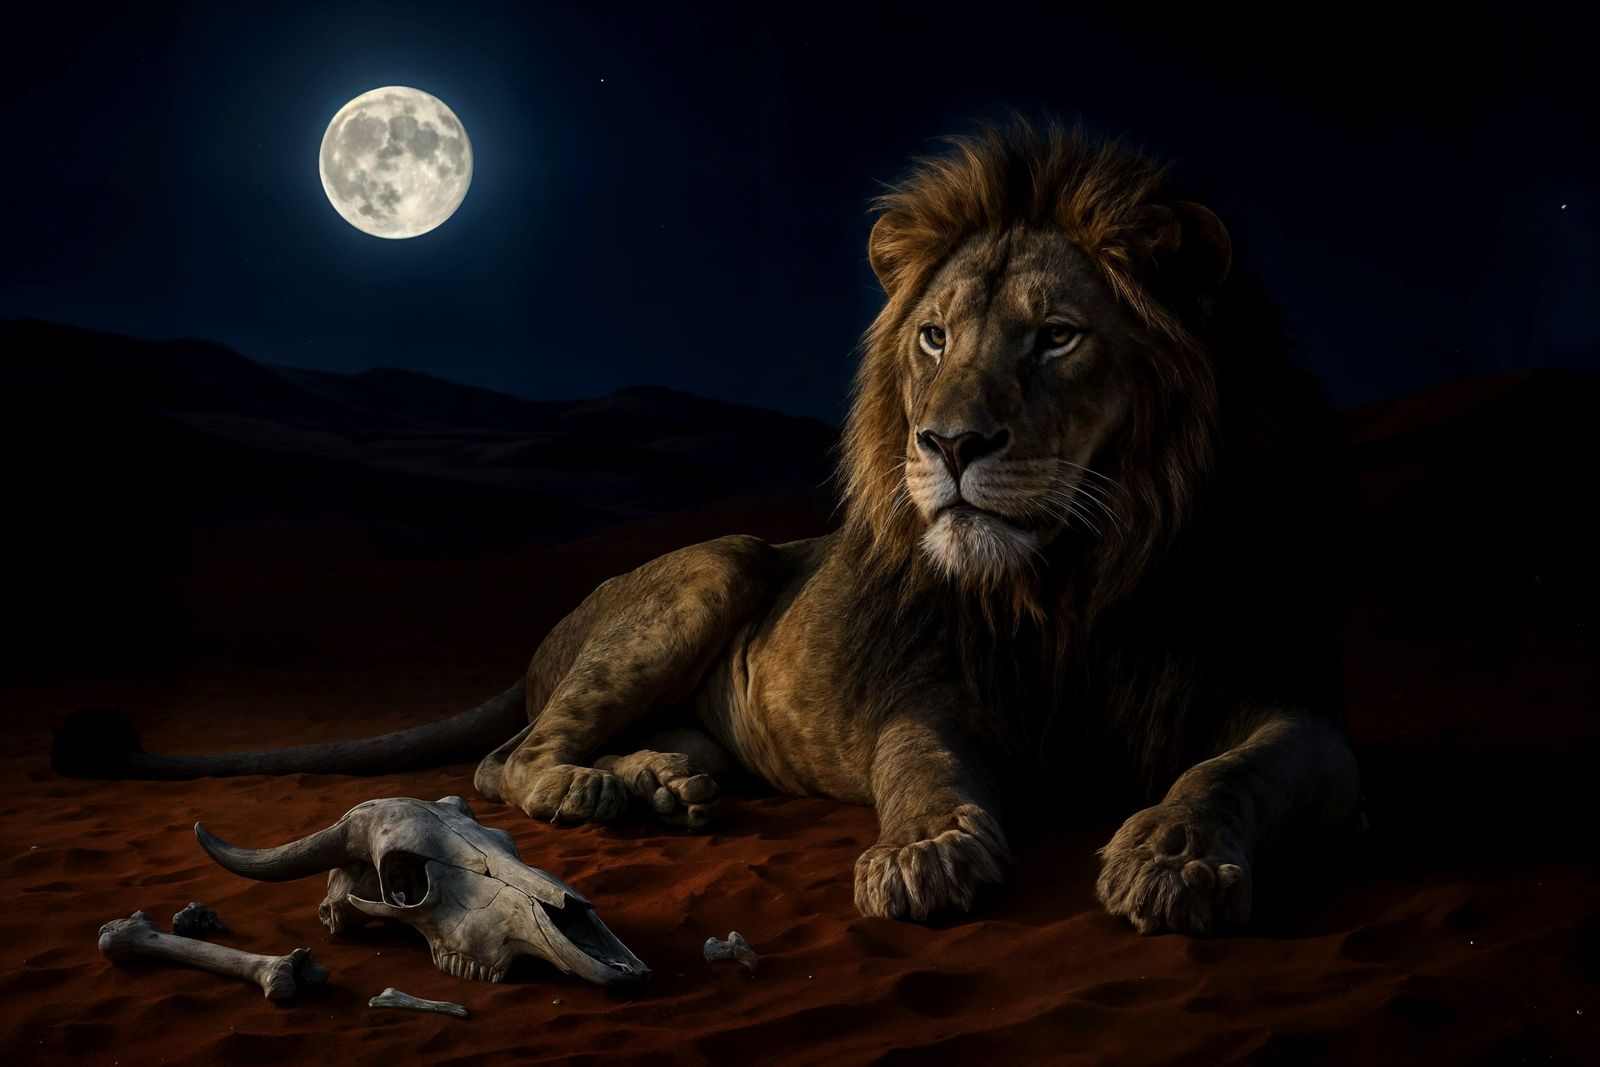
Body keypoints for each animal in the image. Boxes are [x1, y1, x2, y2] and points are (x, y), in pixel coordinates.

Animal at [55, 117, 1363, 934]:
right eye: (934, 337)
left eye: (1056, 337)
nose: (945, 444)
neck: (1066, 584)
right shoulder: (920, 694)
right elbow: (922, 765)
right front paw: (924, 849)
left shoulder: (1291, 699)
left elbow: (1232, 768)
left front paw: (1170, 855)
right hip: (717, 566)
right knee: (504, 756)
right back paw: (605, 792)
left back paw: (667, 783)